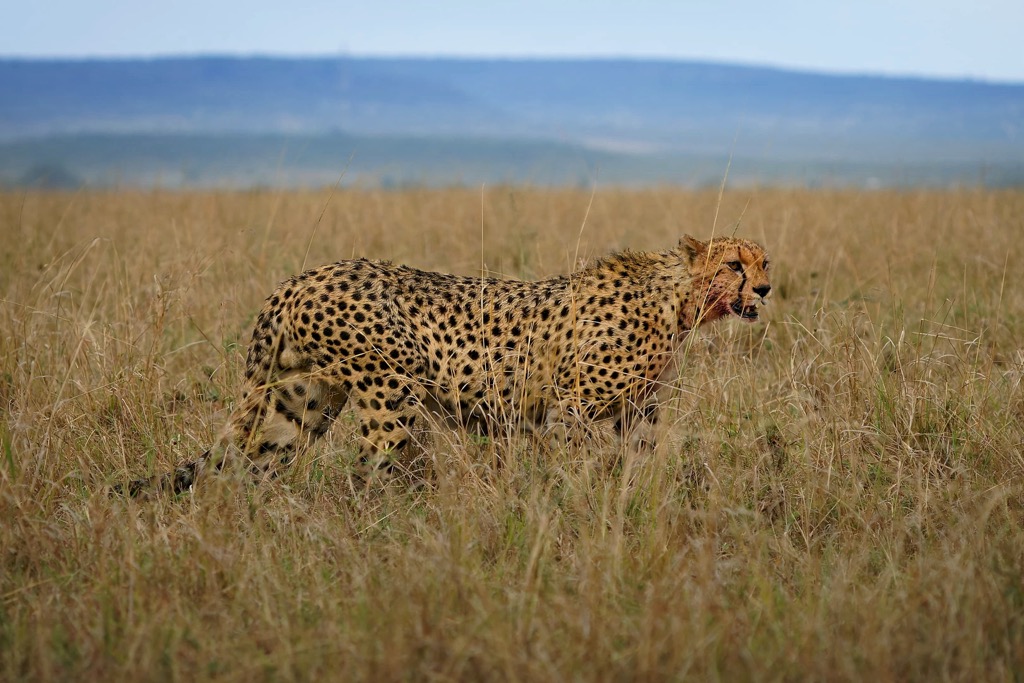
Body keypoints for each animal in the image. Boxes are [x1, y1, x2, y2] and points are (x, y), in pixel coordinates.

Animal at [119, 234, 771, 496]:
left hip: (298, 403)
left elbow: (639, 464)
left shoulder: (637, 413)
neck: (681, 300)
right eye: (734, 264)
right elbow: (579, 465)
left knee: (242, 468)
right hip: (392, 395)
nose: (765, 290)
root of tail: (301, 277)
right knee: (367, 472)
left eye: (763, 263)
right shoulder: (571, 407)